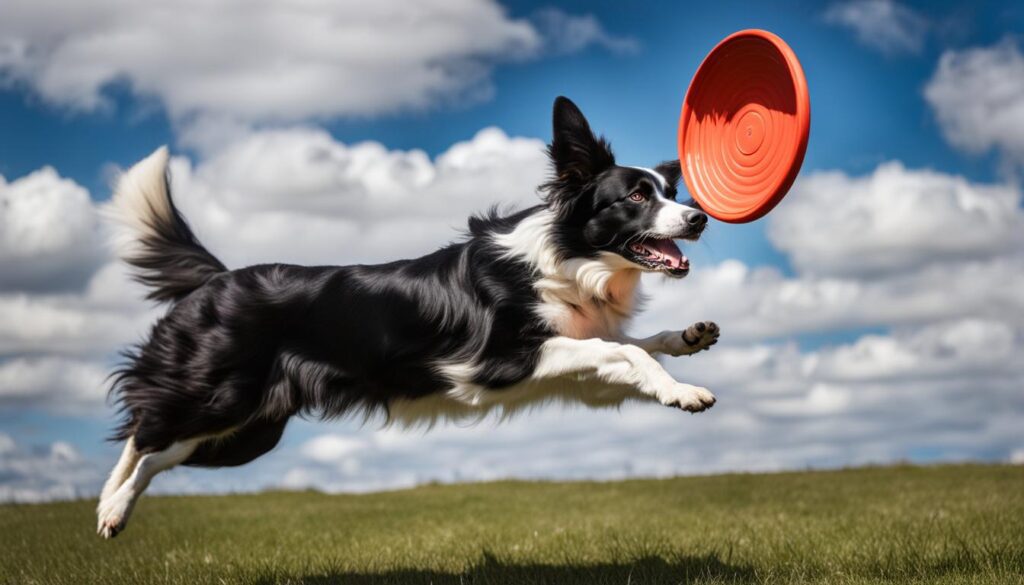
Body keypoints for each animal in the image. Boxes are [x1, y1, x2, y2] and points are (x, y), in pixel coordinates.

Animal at [96, 97, 720, 540]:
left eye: (672, 191)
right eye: (636, 196)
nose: (699, 218)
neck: (570, 258)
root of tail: (218, 278)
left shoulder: (577, 372)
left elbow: (633, 345)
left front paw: (690, 339)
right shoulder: (500, 360)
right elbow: (625, 348)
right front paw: (685, 393)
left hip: (250, 431)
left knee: (156, 444)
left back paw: (115, 509)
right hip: (222, 395)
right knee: (144, 431)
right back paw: (109, 504)